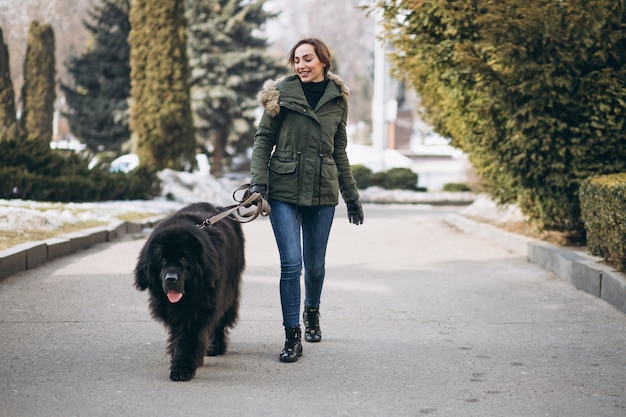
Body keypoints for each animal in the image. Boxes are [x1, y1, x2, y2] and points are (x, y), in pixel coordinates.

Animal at [133, 202, 244, 380]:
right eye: (162, 259)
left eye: (184, 258)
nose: (171, 279)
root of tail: (220, 207)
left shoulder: (199, 309)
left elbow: (188, 337)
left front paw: (182, 368)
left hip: (229, 291)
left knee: (221, 319)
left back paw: (215, 346)